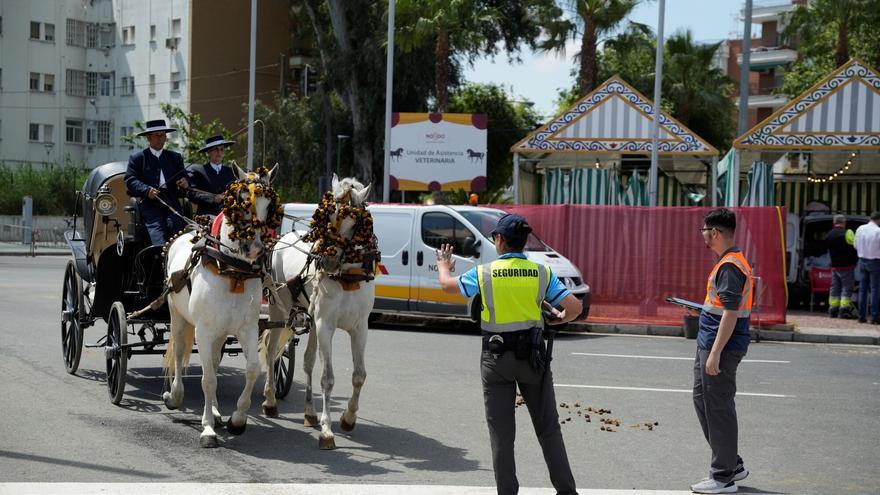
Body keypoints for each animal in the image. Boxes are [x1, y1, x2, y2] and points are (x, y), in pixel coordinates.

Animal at [162, 165, 281, 448]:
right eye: (239, 200)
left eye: (270, 205)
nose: (255, 249)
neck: (232, 270)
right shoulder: (203, 330)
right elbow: (207, 380)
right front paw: (207, 429)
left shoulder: (247, 329)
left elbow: (251, 370)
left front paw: (237, 419)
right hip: (178, 315)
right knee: (180, 352)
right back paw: (176, 396)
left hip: (220, 333)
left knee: (214, 361)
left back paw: (216, 411)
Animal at [260, 174, 376, 449]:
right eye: (327, 215)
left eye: (354, 222)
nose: (328, 262)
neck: (347, 277)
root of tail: (283, 237)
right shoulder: (326, 325)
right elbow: (328, 377)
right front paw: (327, 430)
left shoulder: (360, 328)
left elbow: (359, 375)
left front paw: (348, 418)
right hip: (279, 308)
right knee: (271, 350)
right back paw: (270, 401)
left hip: (310, 318)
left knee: (307, 360)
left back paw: (309, 413)